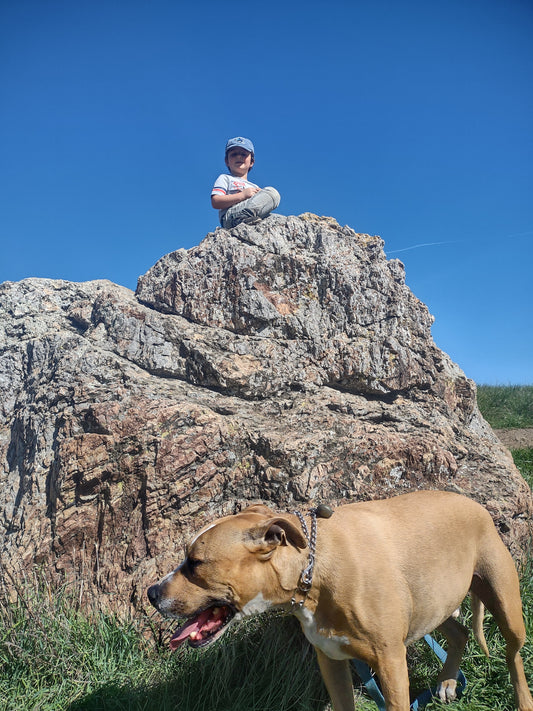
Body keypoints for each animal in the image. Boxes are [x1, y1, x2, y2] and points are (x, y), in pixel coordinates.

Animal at [147, 492, 532, 711]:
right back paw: (449, 681)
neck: (312, 570)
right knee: (460, 633)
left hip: (507, 607)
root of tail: (475, 503)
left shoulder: (391, 664)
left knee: (513, 657)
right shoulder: (331, 660)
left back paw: (522, 700)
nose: (152, 593)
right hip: (431, 604)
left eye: (196, 562)